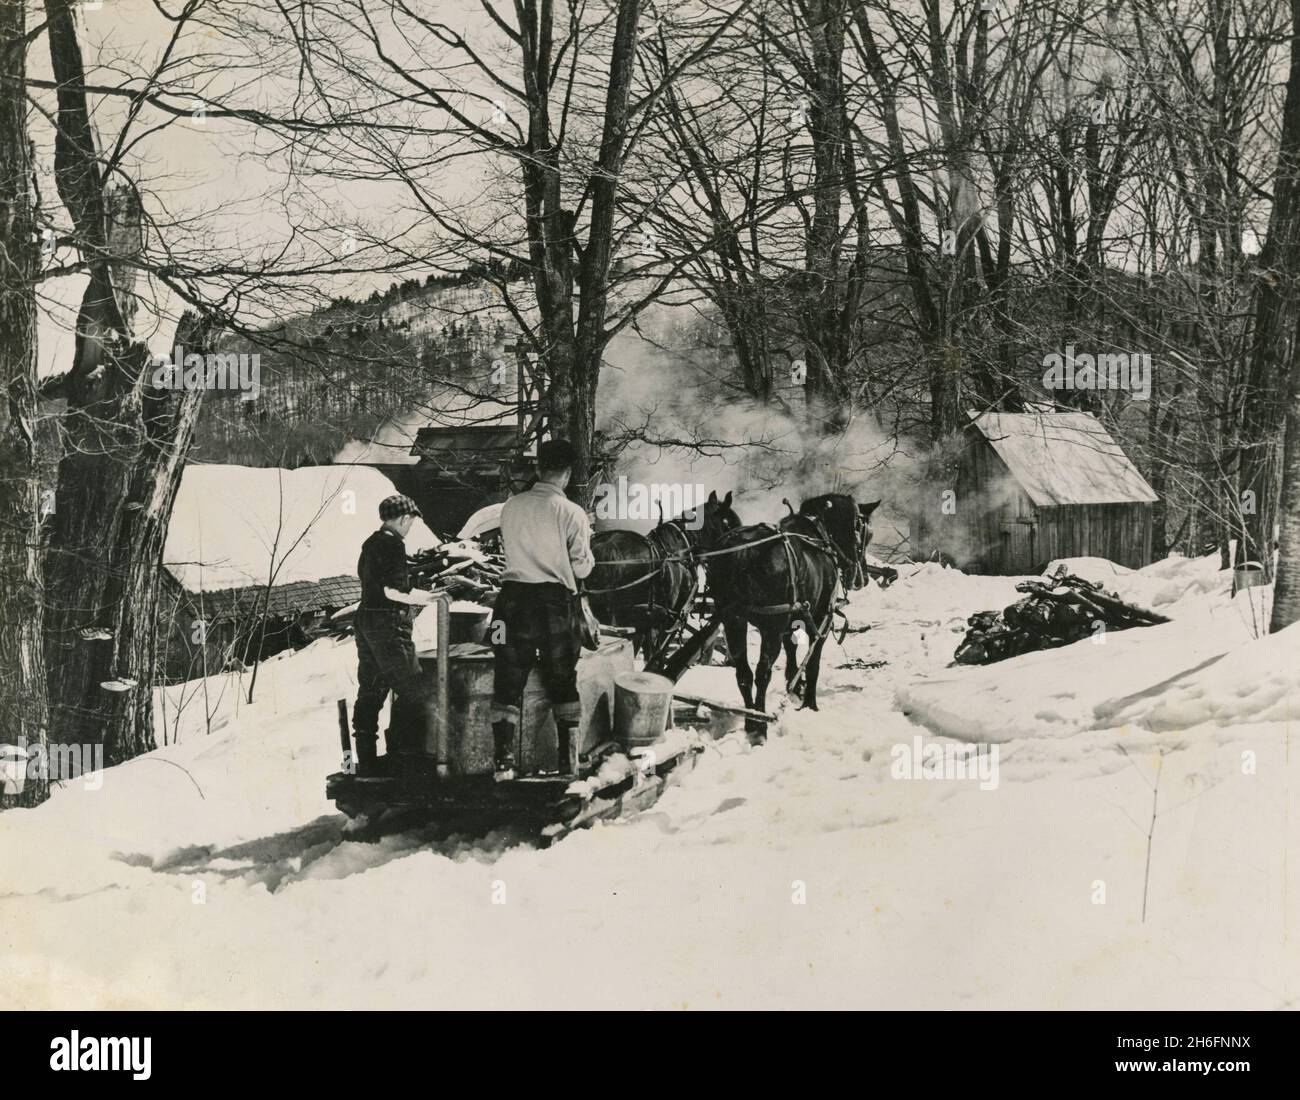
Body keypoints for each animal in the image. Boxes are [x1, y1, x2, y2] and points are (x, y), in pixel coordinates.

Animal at [707, 499, 878, 722]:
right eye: (865, 533)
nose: (862, 577)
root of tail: (743, 551)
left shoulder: (791, 620)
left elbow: (791, 650)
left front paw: (795, 686)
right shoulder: (821, 619)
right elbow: (813, 661)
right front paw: (810, 704)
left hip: (733, 620)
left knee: (743, 673)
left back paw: (750, 715)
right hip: (771, 625)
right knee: (763, 672)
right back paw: (759, 721)